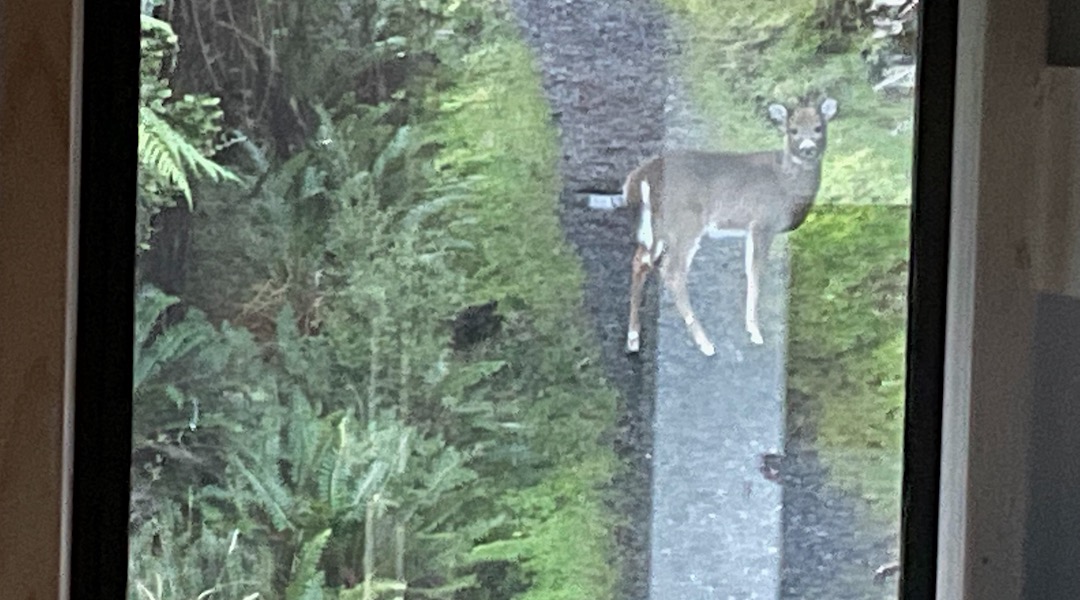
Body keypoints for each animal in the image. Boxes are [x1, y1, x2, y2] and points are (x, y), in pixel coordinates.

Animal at [623, 96, 838, 356]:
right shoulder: (762, 222)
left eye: (818, 127)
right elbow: (757, 271)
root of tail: (641, 175)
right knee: (672, 272)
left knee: (640, 260)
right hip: (685, 221)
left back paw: (633, 338)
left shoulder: (751, 228)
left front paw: (750, 326)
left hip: (655, 225)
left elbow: (749, 270)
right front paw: (755, 332)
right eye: (793, 130)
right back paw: (705, 343)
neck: (786, 181)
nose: (808, 148)